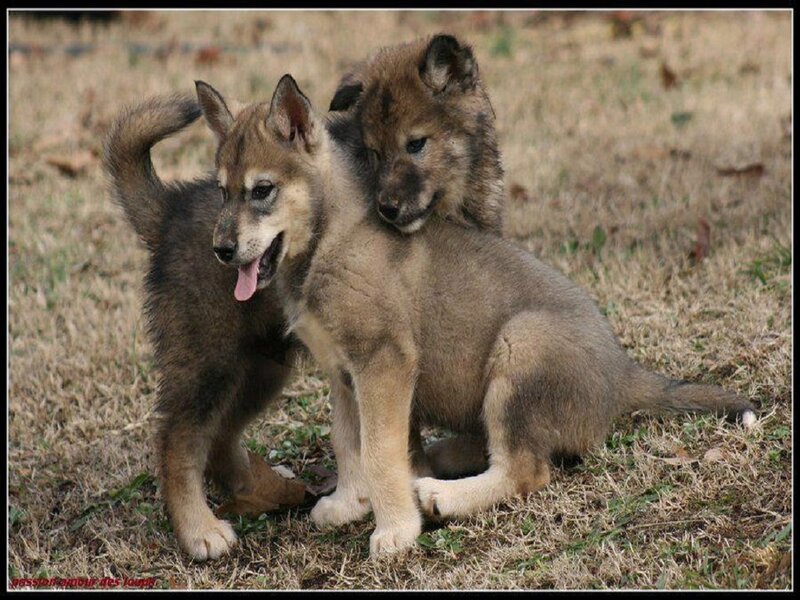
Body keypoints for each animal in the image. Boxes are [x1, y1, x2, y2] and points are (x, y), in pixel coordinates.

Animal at [194, 73, 756, 557]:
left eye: (262, 190)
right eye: (222, 191)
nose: (220, 251)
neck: (330, 239)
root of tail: (622, 375)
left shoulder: (382, 363)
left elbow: (377, 451)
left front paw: (394, 530)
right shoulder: (344, 373)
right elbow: (349, 442)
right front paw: (350, 503)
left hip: (520, 348)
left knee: (527, 470)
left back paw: (444, 495)